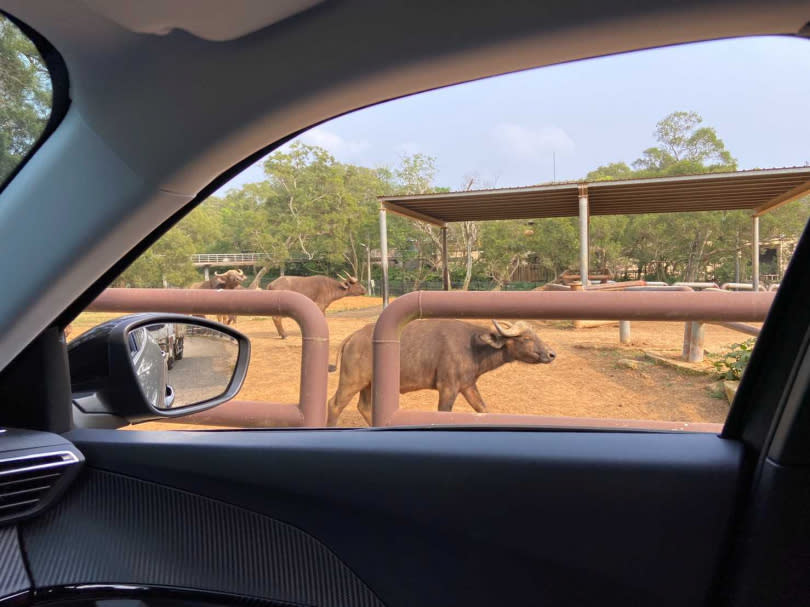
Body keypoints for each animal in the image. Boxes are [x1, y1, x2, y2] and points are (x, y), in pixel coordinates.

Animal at [326, 318, 552, 428]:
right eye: (526, 338)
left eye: (536, 335)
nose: (551, 354)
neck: (473, 346)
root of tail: (353, 337)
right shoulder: (448, 388)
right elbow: (444, 412)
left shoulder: (468, 385)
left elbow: (482, 409)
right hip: (351, 381)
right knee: (334, 404)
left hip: (368, 384)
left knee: (364, 407)